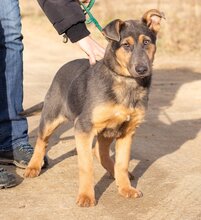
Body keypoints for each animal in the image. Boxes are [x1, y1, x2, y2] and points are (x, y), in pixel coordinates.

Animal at [22, 8, 164, 207]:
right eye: (126, 45)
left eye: (146, 42)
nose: (142, 69)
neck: (125, 82)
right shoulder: (83, 127)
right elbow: (86, 166)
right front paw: (86, 196)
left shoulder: (127, 131)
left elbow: (122, 163)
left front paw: (125, 188)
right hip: (51, 117)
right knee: (42, 141)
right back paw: (33, 166)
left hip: (108, 129)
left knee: (100, 151)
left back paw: (117, 175)